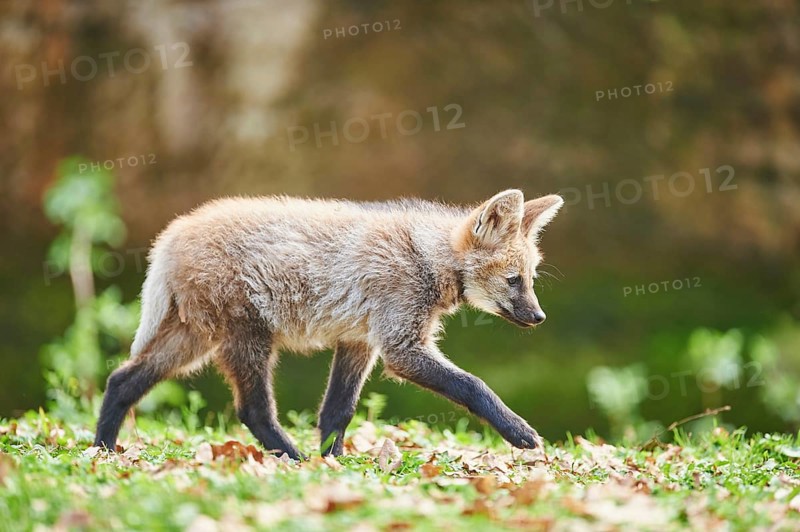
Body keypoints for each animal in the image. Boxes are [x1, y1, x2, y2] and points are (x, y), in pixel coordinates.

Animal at [94, 189, 564, 459]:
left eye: (531, 279)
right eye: (513, 280)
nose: (539, 317)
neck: (427, 258)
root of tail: (172, 233)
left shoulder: (359, 341)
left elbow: (338, 409)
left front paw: (332, 463)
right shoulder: (400, 347)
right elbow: (474, 385)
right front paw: (520, 432)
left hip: (196, 340)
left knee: (121, 380)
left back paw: (101, 449)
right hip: (247, 339)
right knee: (252, 410)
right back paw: (292, 457)